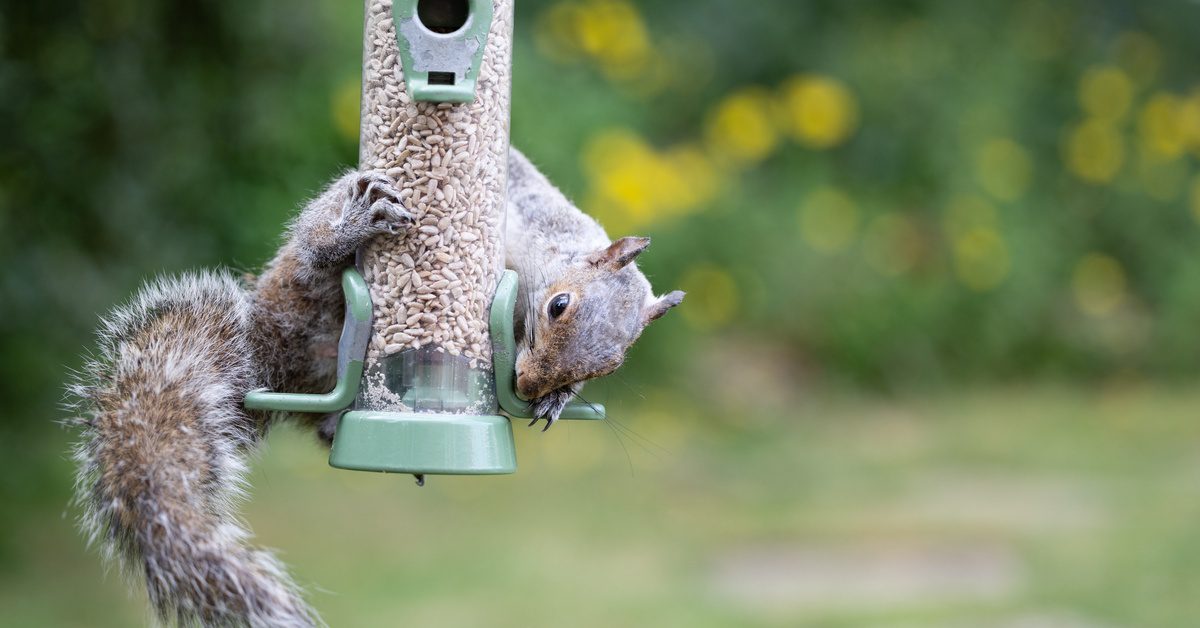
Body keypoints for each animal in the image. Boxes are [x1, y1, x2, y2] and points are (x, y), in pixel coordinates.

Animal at [65, 147, 683, 627]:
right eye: (558, 305)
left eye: (610, 368)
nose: (529, 385)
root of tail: (263, 358)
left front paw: (557, 400)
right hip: (307, 296)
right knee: (314, 254)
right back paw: (347, 229)